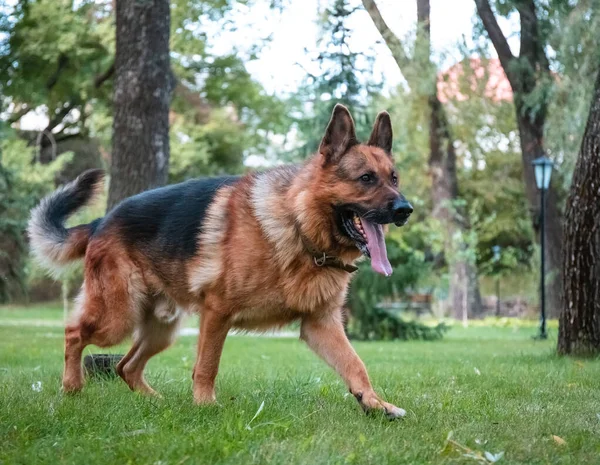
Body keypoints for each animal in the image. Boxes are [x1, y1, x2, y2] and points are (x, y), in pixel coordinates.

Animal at [29, 105, 412, 416]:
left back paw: (154, 401)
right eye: (366, 178)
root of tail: (100, 221)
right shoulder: (217, 313)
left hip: (161, 330)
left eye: (394, 178)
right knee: (74, 333)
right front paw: (204, 406)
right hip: (117, 318)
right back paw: (72, 387)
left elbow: (356, 364)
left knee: (126, 366)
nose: (405, 209)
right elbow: (207, 364)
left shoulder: (321, 324)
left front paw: (375, 403)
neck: (298, 223)